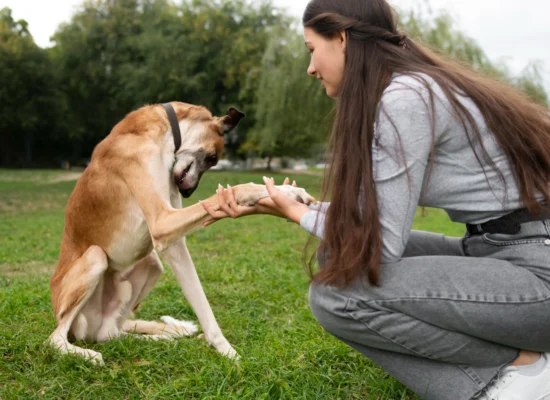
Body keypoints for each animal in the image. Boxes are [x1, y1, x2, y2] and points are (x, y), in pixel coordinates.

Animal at [49, 101, 316, 364]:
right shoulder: (162, 222)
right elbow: (240, 188)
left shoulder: (173, 241)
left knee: (111, 333)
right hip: (95, 259)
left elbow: (202, 303)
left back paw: (163, 339)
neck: (161, 132)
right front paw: (286, 193)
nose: (188, 192)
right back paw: (86, 353)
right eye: (212, 158)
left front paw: (225, 350)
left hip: (151, 265)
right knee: (56, 339)